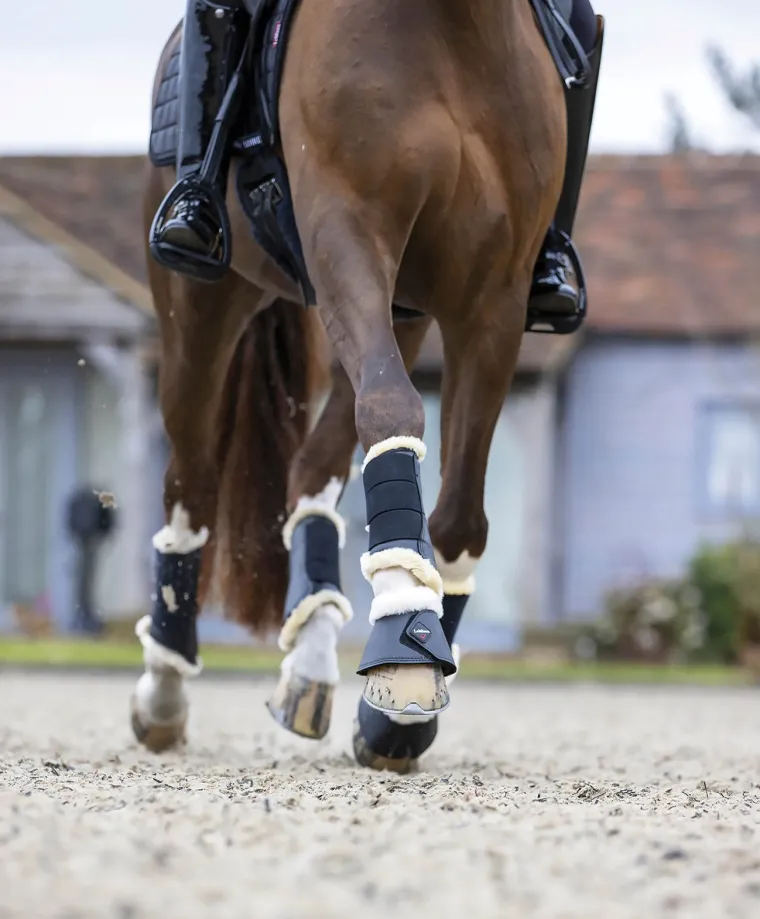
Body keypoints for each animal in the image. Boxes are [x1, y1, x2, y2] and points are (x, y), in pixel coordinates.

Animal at [133, 0, 599, 772]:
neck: (450, 27)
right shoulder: (346, 234)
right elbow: (394, 409)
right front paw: (406, 645)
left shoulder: (493, 301)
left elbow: (460, 516)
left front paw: (396, 705)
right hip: (200, 306)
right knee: (190, 485)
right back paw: (164, 687)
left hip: (405, 317)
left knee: (310, 469)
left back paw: (311, 664)